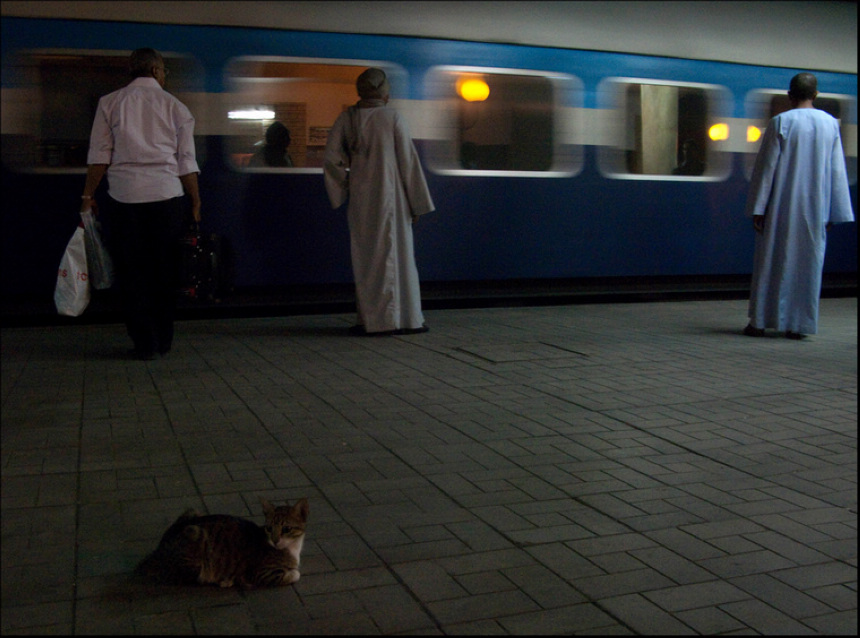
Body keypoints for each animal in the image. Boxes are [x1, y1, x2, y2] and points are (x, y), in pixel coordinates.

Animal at [141, 500, 312, 592]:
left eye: (286, 529)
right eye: (269, 528)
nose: (276, 541)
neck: (293, 549)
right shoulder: (262, 573)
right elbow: (295, 574)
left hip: (192, 511)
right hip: (194, 535)